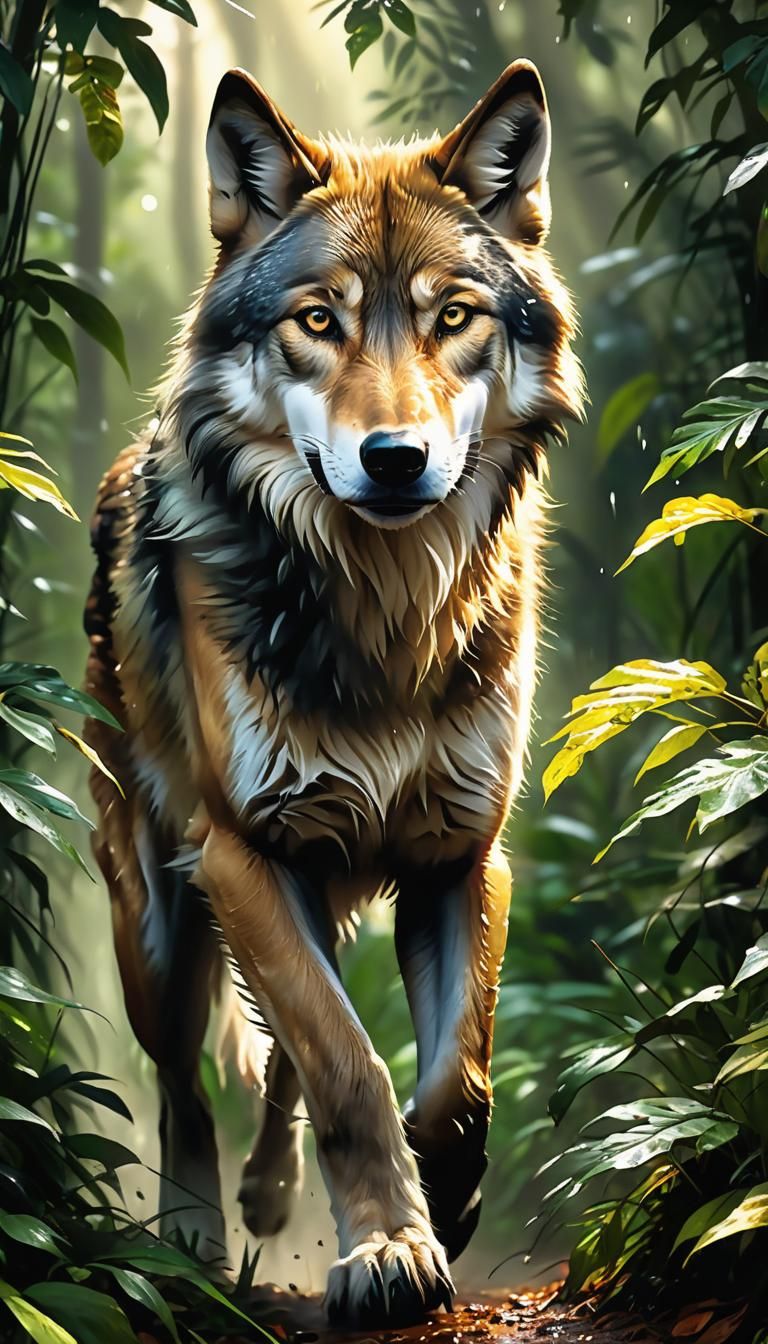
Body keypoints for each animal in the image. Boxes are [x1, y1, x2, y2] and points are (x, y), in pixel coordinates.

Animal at [83, 58, 583, 1326]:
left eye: (453, 316)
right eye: (319, 322)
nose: (395, 460)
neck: (386, 621)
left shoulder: (462, 853)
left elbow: (453, 1075)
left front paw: (447, 1197)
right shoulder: (247, 853)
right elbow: (348, 1068)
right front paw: (390, 1252)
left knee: (277, 1068)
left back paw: (270, 1199)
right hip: (158, 928)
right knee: (190, 1083)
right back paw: (194, 1240)